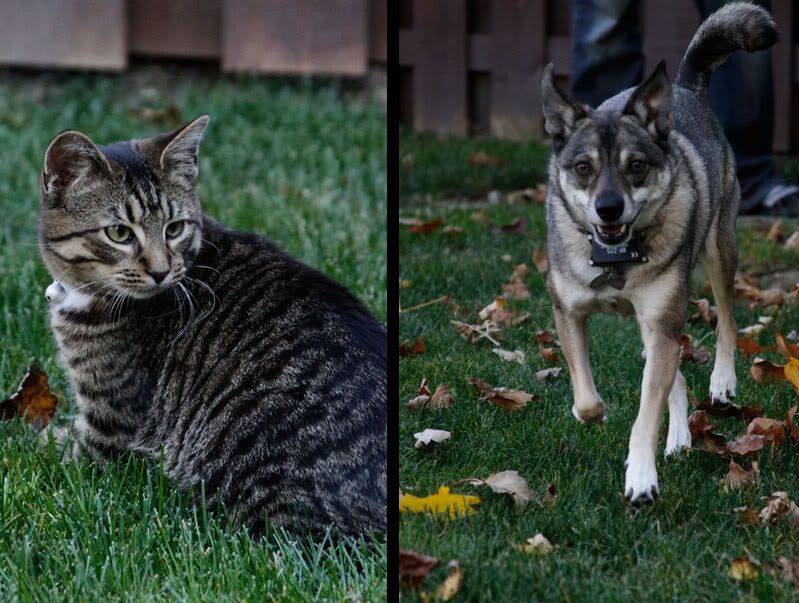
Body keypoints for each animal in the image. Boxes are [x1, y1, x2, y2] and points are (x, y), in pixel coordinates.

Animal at [540, 2, 780, 508]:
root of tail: (685, 87)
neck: (614, 255)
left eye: (637, 165)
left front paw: (641, 477)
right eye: (583, 167)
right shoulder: (567, 311)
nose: (608, 208)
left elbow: (645, 412)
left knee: (727, 321)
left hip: (719, 251)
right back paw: (681, 434)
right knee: (670, 365)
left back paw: (722, 382)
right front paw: (600, 414)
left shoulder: (661, 316)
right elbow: (588, 399)